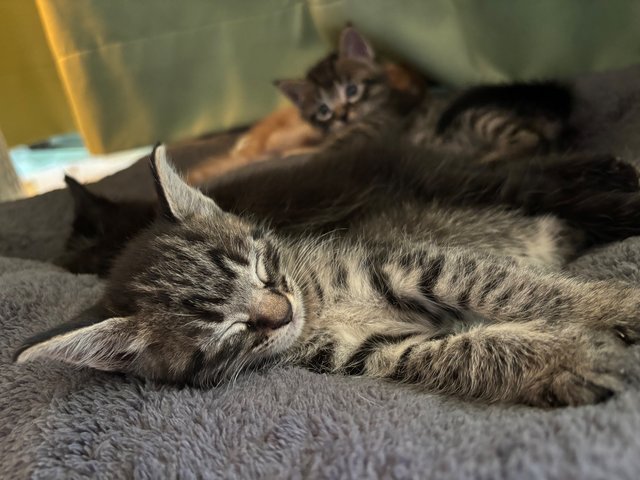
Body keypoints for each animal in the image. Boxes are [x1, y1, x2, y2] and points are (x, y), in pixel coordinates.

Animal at [15, 133, 640, 406]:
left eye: (262, 267)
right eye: (229, 330)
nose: (282, 309)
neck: (319, 303)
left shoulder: (417, 265)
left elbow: (518, 290)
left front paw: (613, 308)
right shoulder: (365, 353)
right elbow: (459, 352)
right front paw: (565, 362)